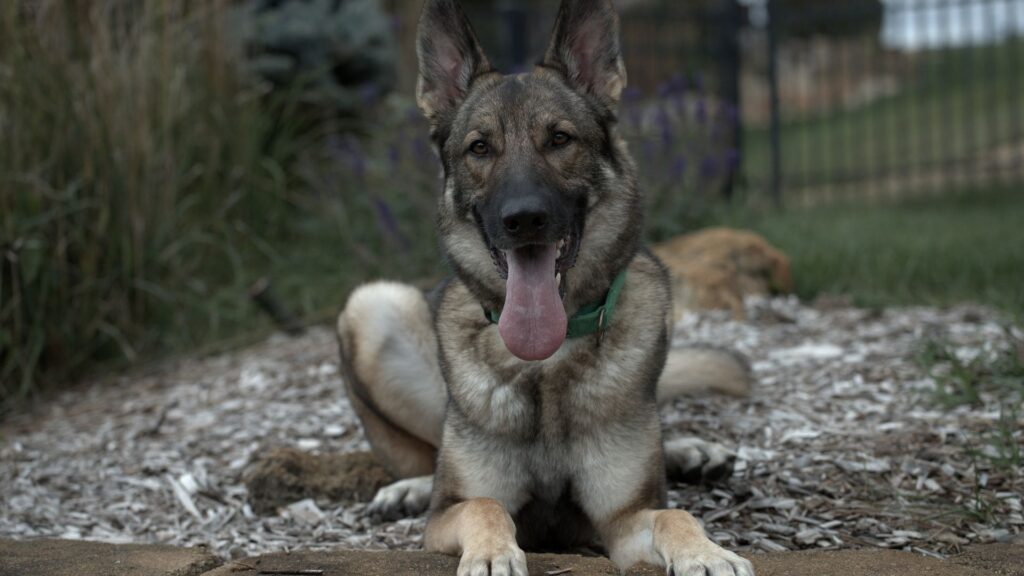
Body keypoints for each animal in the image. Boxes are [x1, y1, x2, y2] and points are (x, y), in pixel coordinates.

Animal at [335, 2, 753, 569]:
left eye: (559, 139)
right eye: (480, 148)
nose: (524, 219)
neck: (546, 363)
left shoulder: (622, 522)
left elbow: (674, 515)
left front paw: (707, 553)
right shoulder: (448, 515)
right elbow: (484, 504)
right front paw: (492, 554)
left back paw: (689, 450)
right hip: (372, 306)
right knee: (430, 452)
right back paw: (411, 486)